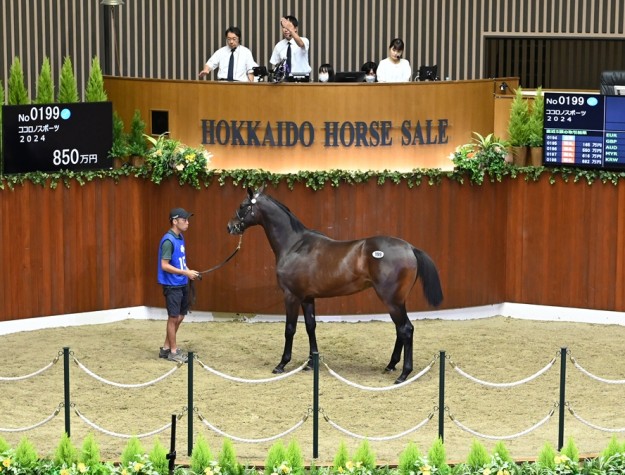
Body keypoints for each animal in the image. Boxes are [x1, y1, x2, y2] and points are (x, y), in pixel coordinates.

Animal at [227, 187, 443, 383]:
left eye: (243, 206)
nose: (230, 226)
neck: (295, 245)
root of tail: (410, 248)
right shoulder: (307, 298)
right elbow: (310, 326)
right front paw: (310, 363)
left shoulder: (291, 296)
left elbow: (290, 329)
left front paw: (282, 364)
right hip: (397, 301)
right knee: (401, 329)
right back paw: (391, 365)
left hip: (391, 300)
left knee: (406, 329)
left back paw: (403, 374)